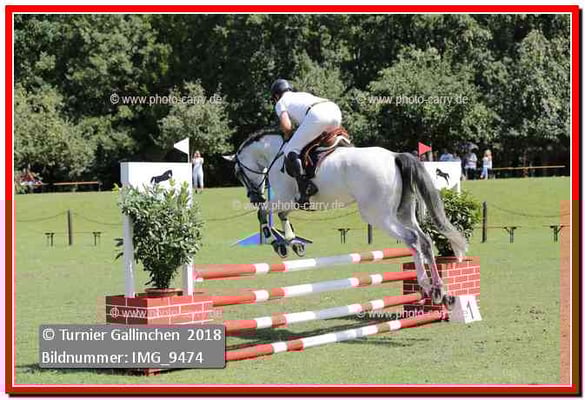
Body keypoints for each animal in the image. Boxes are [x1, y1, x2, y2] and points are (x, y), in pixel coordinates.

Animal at [225, 131, 467, 306]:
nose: (253, 197)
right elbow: (281, 215)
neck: (276, 155)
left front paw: (276, 241)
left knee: (412, 240)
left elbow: (263, 213)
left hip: (377, 215)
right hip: (403, 212)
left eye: (237, 172)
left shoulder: (284, 198)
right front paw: (292, 242)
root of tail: (394, 157)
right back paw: (438, 291)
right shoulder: (291, 202)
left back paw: (427, 285)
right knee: (423, 240)